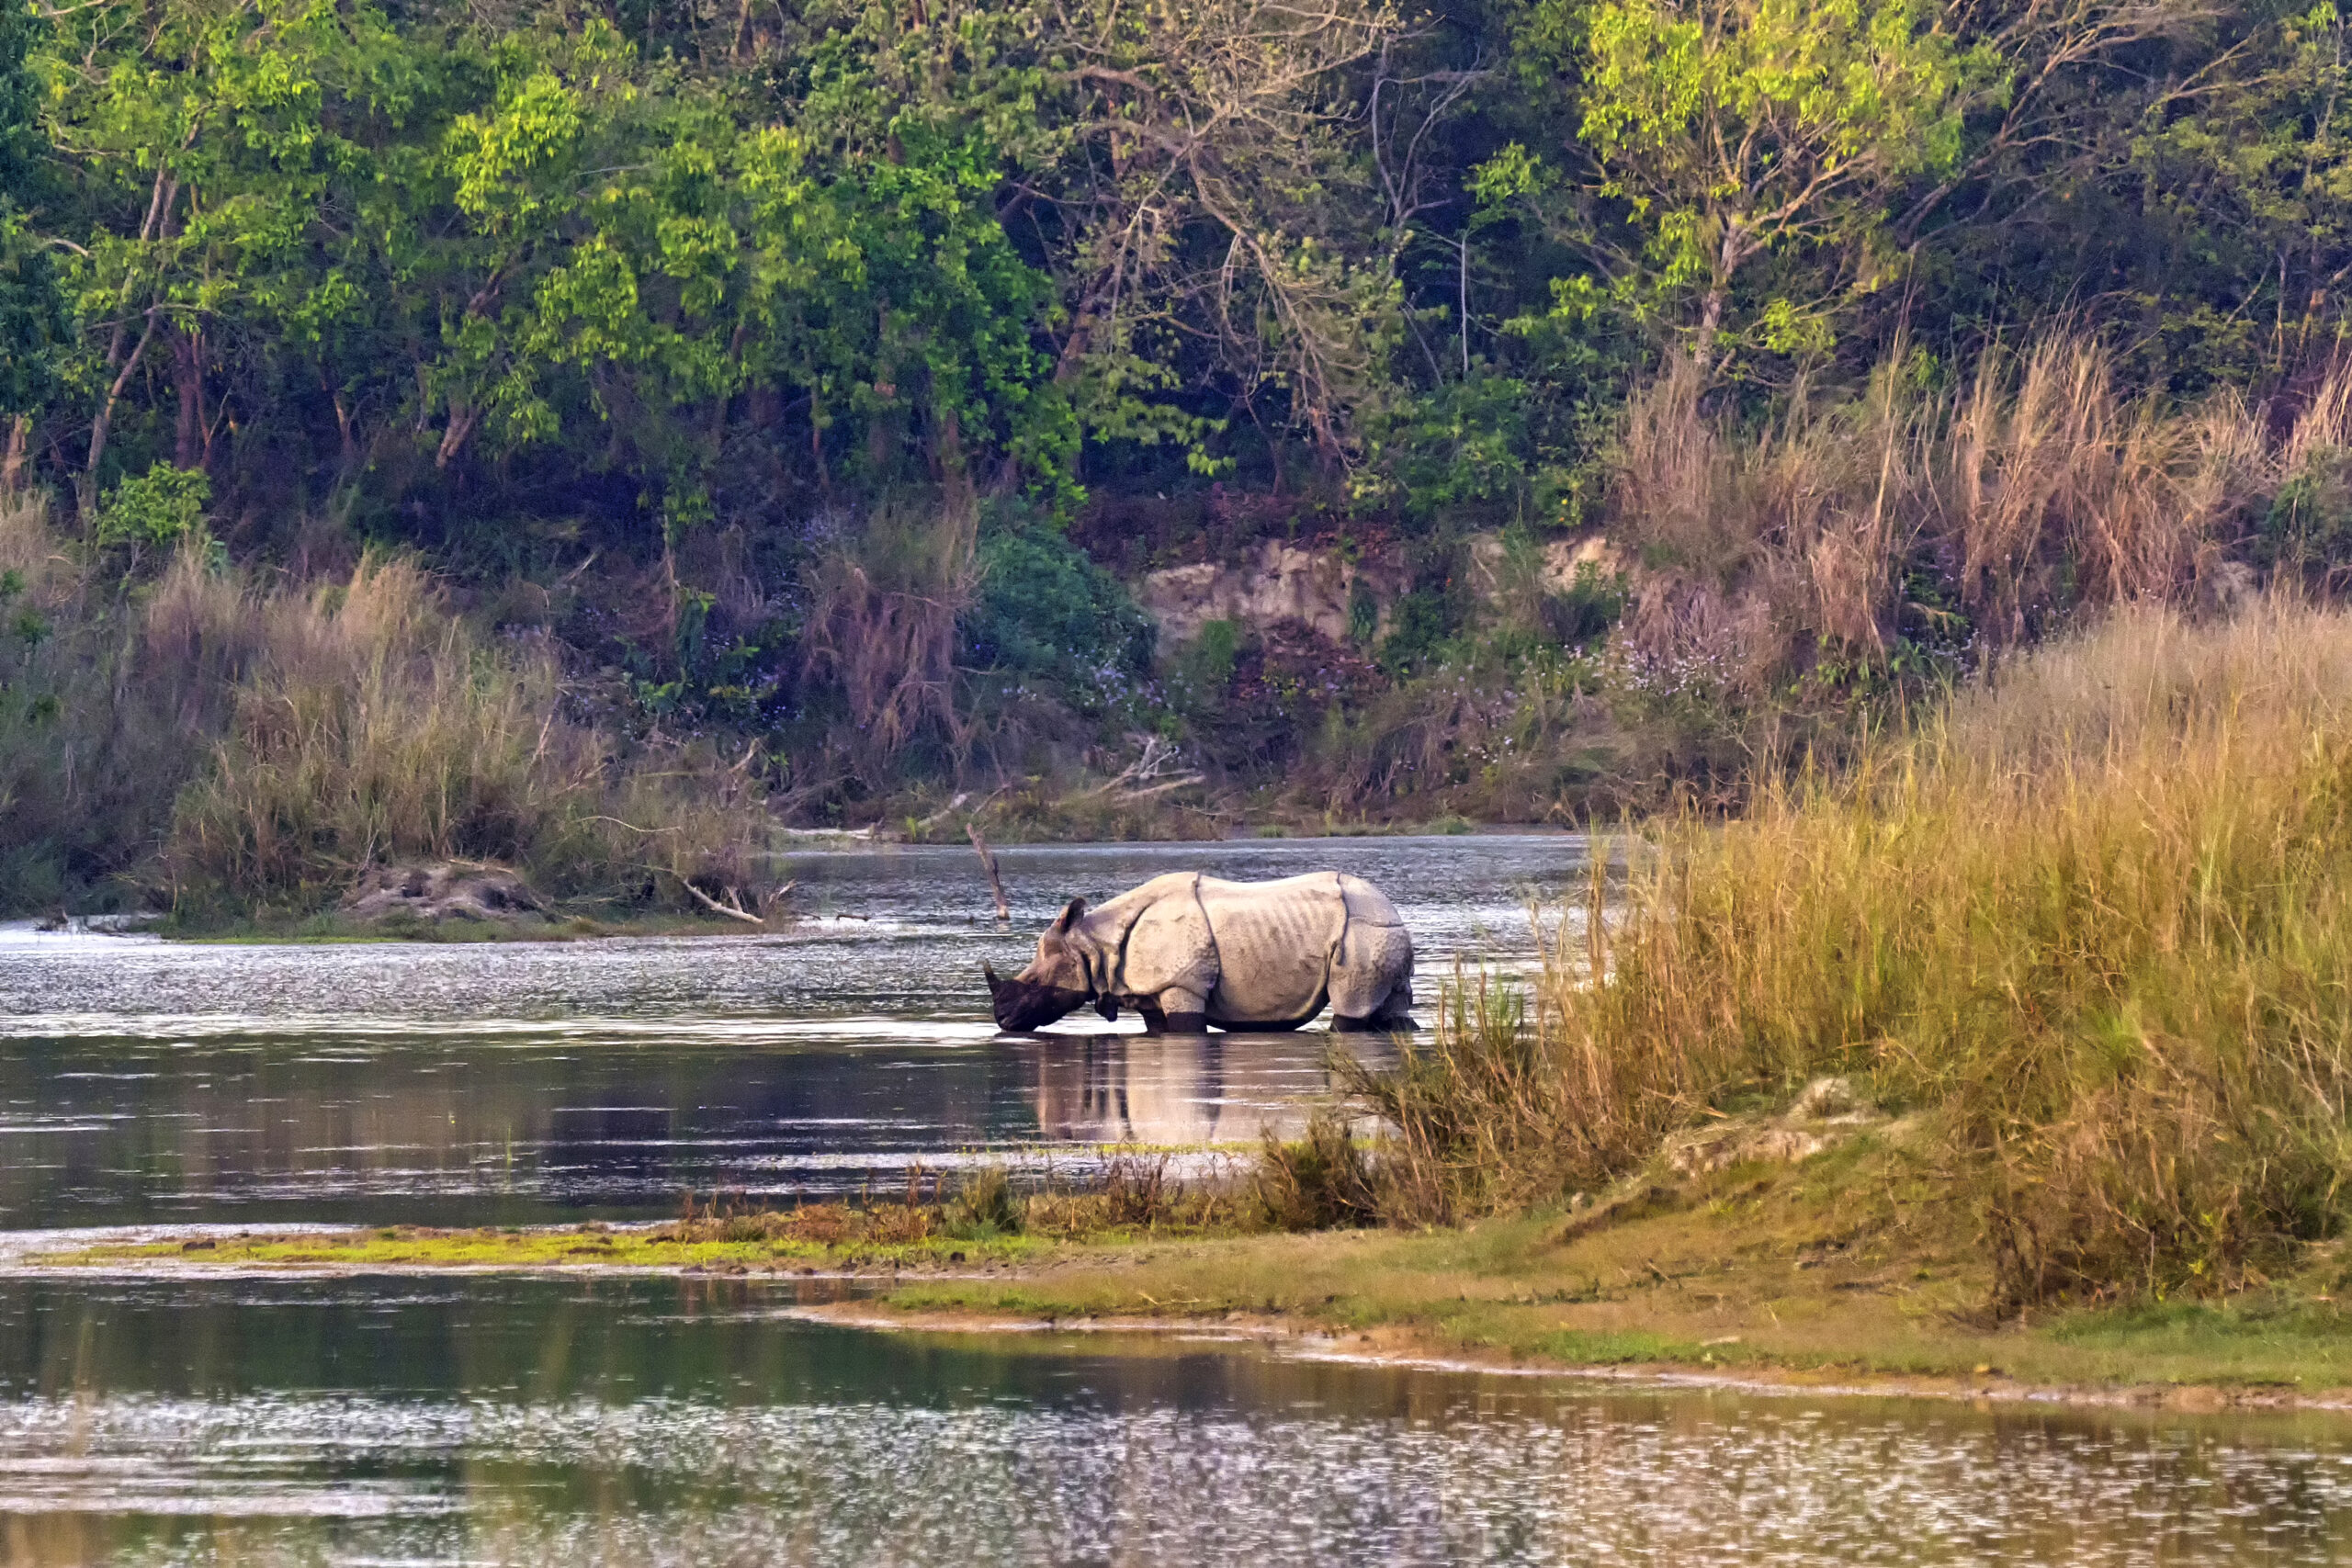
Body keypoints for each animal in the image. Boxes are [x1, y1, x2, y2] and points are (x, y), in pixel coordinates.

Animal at [984, 870, 1416, 1034]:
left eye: (1035, 982)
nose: (1002, 1020)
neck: (1095, 943)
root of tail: (1393, 912)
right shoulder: (1151, 991)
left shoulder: (1182, 985)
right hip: (1378, 933)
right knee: (1393, 1008)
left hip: (1360, 933)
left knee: (1351, 1009)